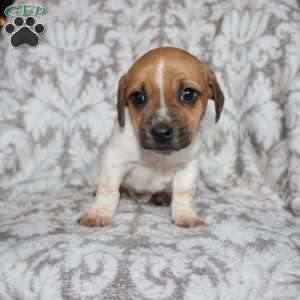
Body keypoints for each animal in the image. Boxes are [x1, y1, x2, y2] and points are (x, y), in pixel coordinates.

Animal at [78, 47, 224, 227]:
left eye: (188, 94)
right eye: (138, 97)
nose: (161, 132)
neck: (157, 157)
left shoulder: (187, 168)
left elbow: (183, 194)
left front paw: (185, 215)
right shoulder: (115, 161)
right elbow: (108, 190)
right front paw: (99, 213)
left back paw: (163, 196)